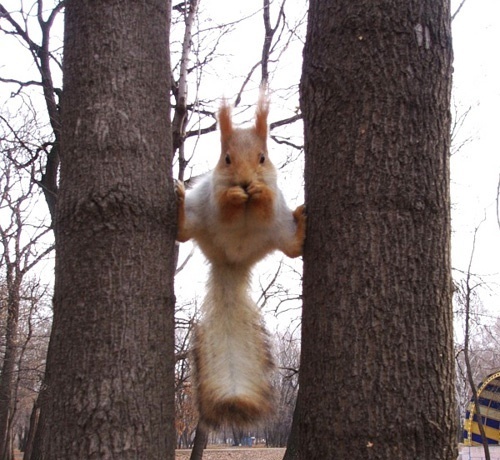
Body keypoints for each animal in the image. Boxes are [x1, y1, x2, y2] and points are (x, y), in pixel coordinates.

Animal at [176, 94, 306, 427]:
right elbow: (225, 208)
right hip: (199, 214)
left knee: (291, 248)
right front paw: (234, 196)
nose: (246, 182)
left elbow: (266, 203)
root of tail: (232, 261)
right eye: (226, 159)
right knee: (183, 232)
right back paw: (180, 202)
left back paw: (301, 220)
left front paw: (258, 192)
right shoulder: (214, 194)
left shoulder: (273, 202)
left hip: (278, 227)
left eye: (263, 158)